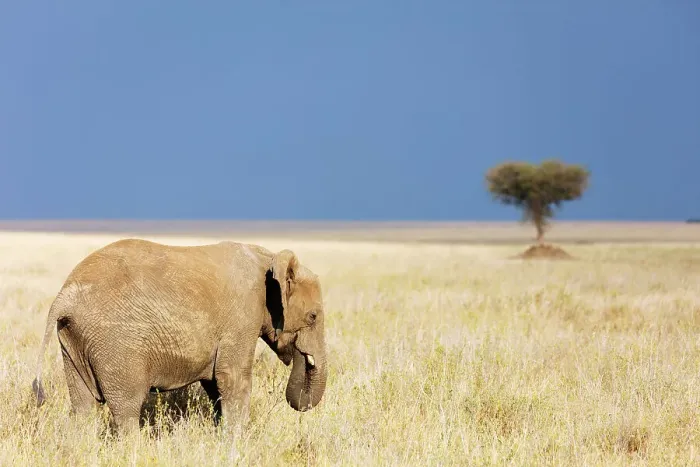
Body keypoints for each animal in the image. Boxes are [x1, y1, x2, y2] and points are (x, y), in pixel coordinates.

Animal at [31, 238, 328, 434]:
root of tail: (64, 296)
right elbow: (231, 379)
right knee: (126, 407)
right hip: (114, 343)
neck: (269, 257)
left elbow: (215, 384)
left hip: (73, 339)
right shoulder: (242, 316)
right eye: (313, 316)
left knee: (83, 406)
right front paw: (236, 442)